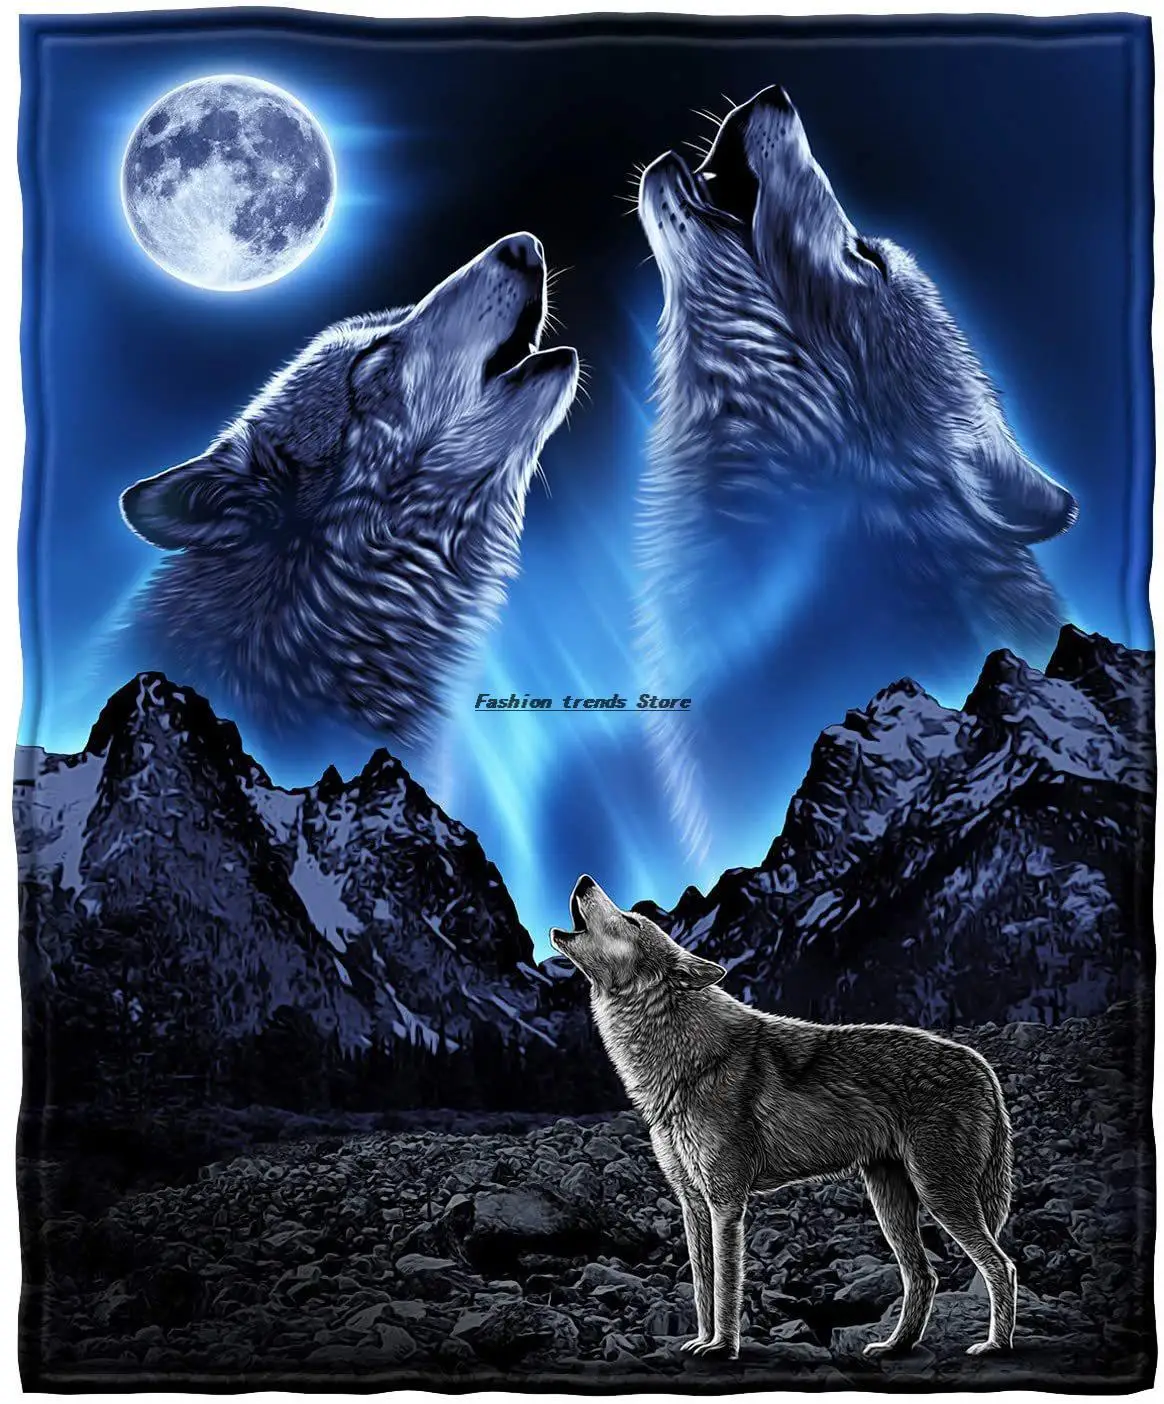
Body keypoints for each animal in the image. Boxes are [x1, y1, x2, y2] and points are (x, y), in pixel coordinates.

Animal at [551, 875, 1017, 1361]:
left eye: (632, 921)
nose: (584, 880)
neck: (688, 1062)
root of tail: (980, 1064)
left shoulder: (726, 1202)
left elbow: (725, 1286)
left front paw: (722, 1347)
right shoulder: (692, 1202)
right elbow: (701, 1286)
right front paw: (699, 1340)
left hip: (939, 1194)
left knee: (1000, 1265)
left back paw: (995, 1345)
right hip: (889, 1200)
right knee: (924, 1275)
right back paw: (895, 1346)